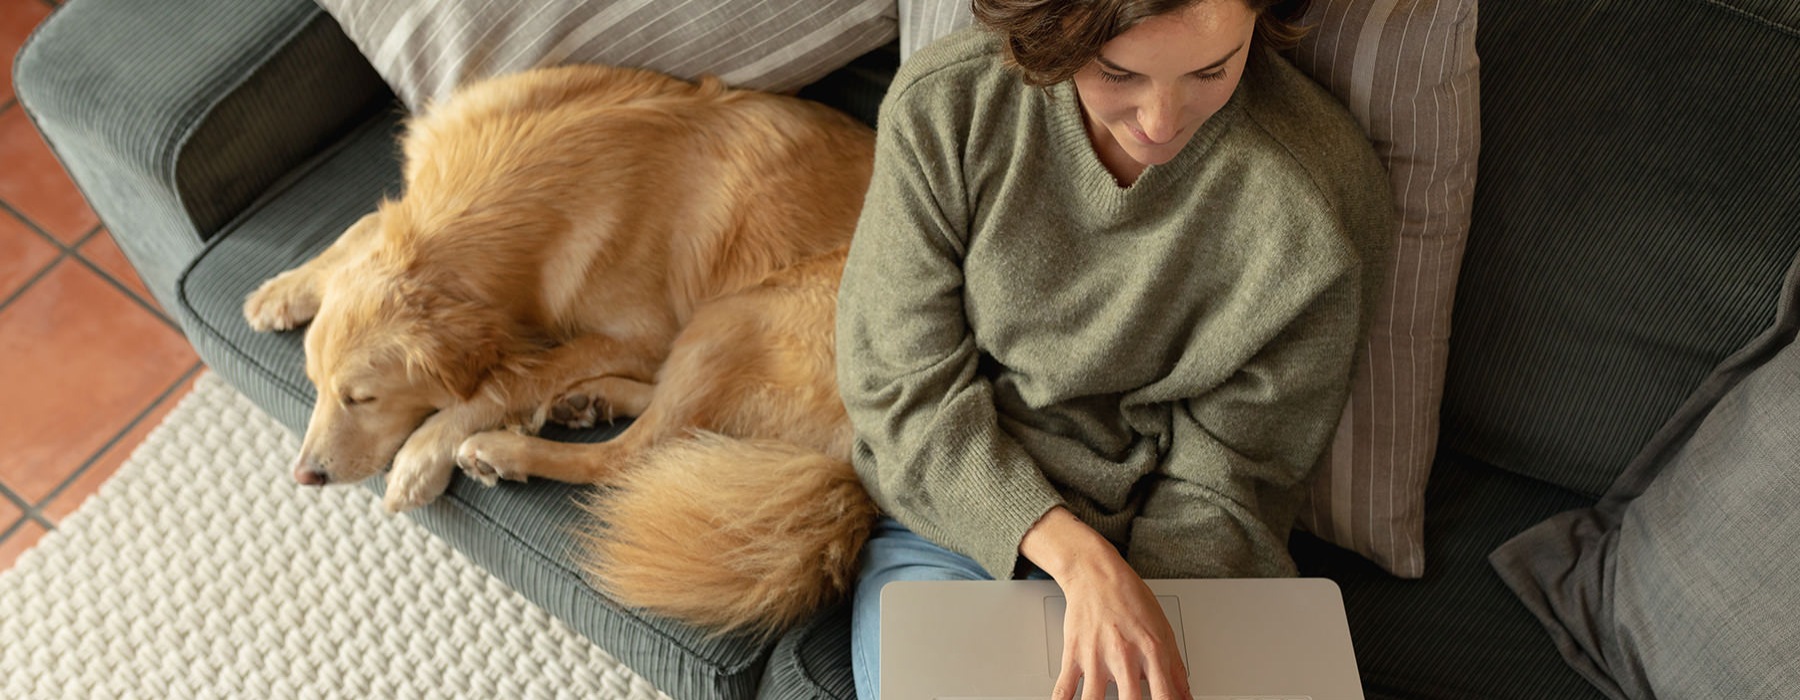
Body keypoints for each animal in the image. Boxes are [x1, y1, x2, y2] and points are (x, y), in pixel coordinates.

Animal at [239, 63, 878, 633]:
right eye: (315, 385)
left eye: (362, 399)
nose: (306, 474)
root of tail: (862, 475)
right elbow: (360, 228)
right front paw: (282, 290)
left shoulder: (645, 335)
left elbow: (517, 375)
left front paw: (425, 451)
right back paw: (590, 400)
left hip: (730, 318)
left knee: (628, 455)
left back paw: (505, 449)